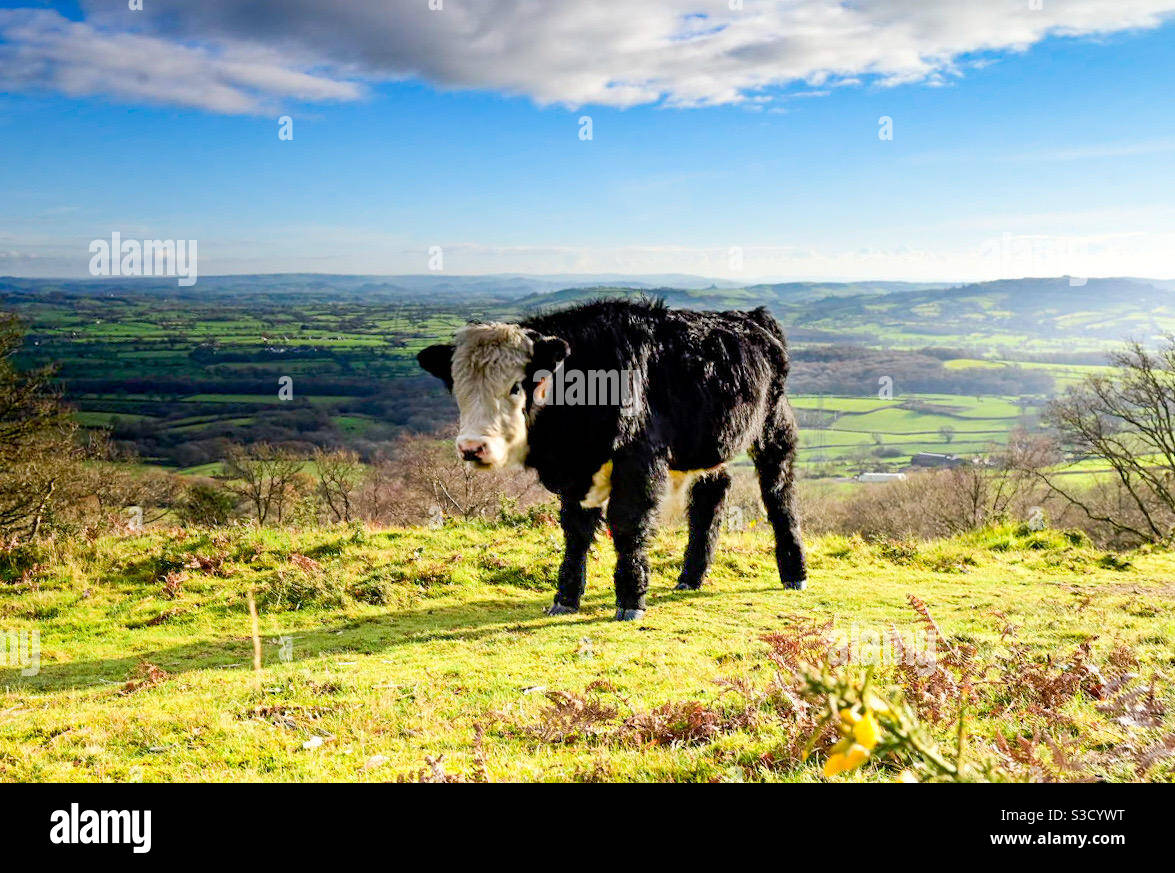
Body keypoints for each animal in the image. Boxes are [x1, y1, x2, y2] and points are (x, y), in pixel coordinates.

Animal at [415, 300, 808, 620]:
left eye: (515, 386)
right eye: (458, 387)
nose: (472, 446)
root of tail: (751, 316)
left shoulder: (638, 461)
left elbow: (626, 524)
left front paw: (630, 600)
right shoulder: (577, 474)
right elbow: (575, 530)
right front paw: (565, 598)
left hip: (774, 426)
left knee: (778, 492)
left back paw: (794, 573)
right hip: (707, 443)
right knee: (711, 494)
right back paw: (690, 577)